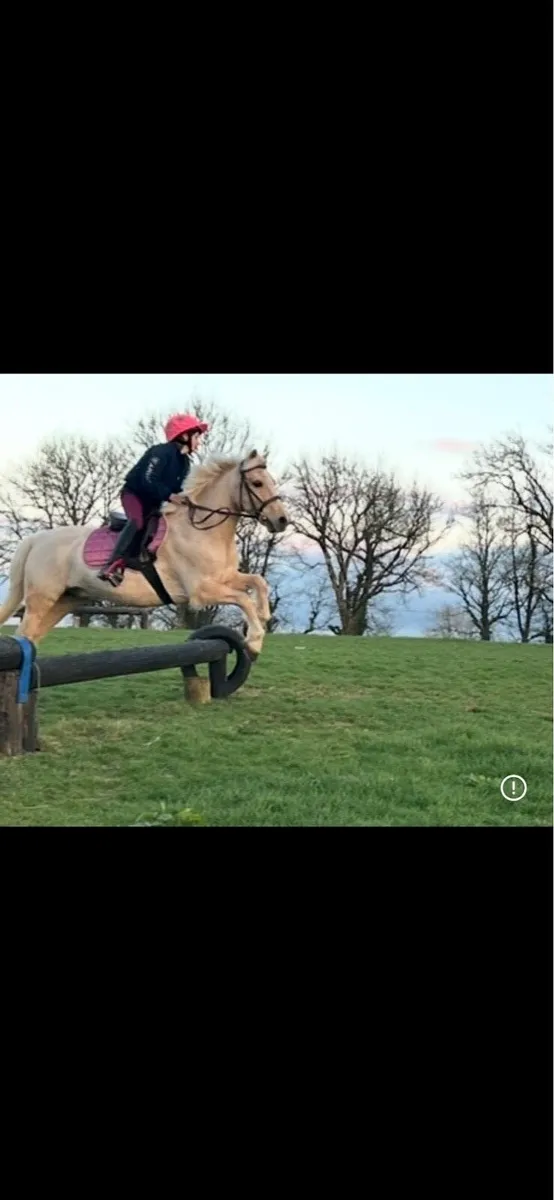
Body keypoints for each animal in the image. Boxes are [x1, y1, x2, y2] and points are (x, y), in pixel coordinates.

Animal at [0, 451, 289, 658]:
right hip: (42, 599)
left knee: (30, 637)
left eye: (272, 482)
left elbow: (257, 582)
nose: (282, 520)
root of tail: (36, 539)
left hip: (65, 600)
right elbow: (243, 599)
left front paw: (264, 615)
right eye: (257, 483)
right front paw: (254, 640)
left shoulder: (224, 577)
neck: (202, 529)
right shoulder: (202, 591)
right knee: (24, 634)